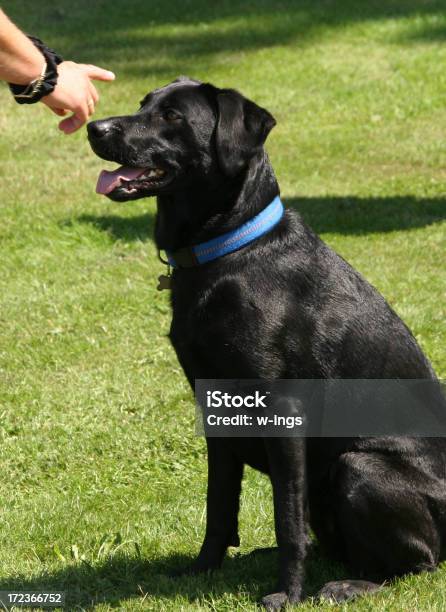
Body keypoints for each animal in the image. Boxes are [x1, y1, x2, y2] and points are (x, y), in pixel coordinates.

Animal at [89, 79, 446, 608]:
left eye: (172, 116)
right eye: (142, 105)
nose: (94, 127)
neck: (230, 251)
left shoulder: (283, 411)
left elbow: (287, 518)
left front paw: (287, 593)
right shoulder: (215, 407)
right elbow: (219, 505)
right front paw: (202, 571)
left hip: (359, 467)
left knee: (417, 562)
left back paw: (347, 585)